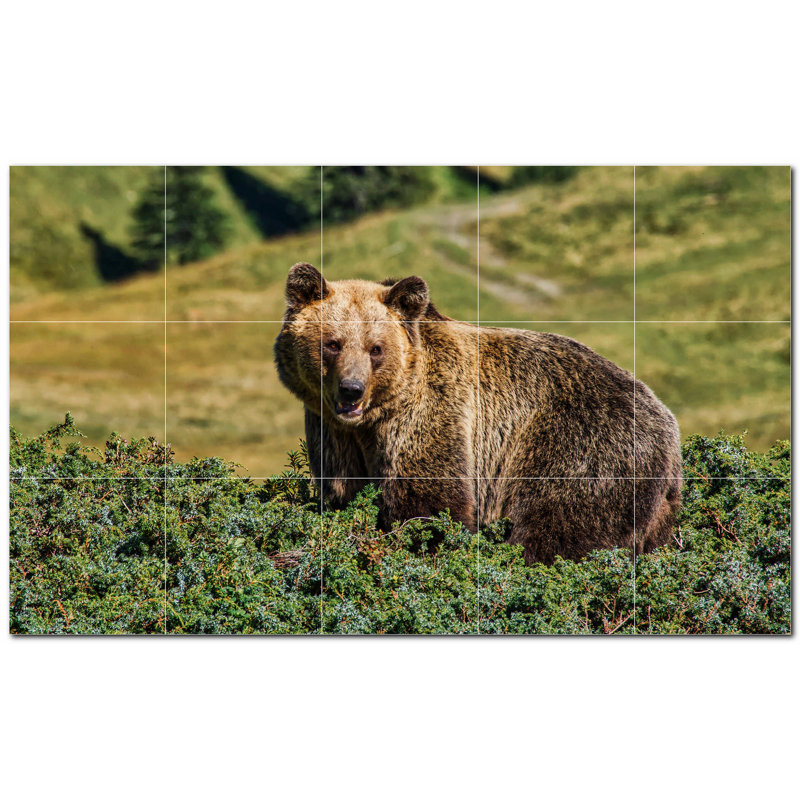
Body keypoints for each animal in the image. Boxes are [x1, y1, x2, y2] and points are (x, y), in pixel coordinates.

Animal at [274, 262, 682, 565]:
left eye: (376, 348)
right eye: (333, 344)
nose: (351, 389)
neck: (374, 419)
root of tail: (667, 423)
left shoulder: (432, 414)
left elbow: (430, 502)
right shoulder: (333, 434)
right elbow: (342, 490)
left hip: (579, 447)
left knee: (556, 529)